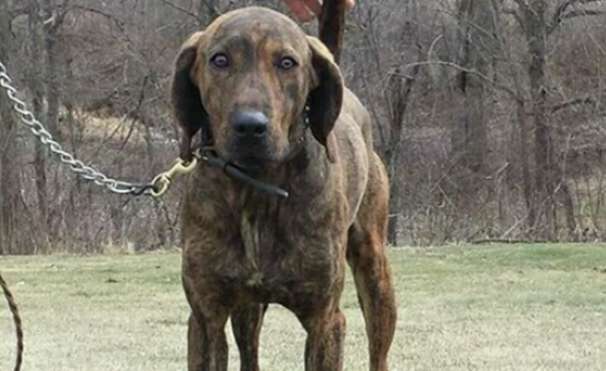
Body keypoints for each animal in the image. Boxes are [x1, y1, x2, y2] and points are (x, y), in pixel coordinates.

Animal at [172, 6, 400, 371]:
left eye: (287, 62)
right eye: (219, 60)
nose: (250, 126)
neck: (257, 190)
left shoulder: (325, 321)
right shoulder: (207, 318)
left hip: (375, 272)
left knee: (378, 349)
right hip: (247, 308)